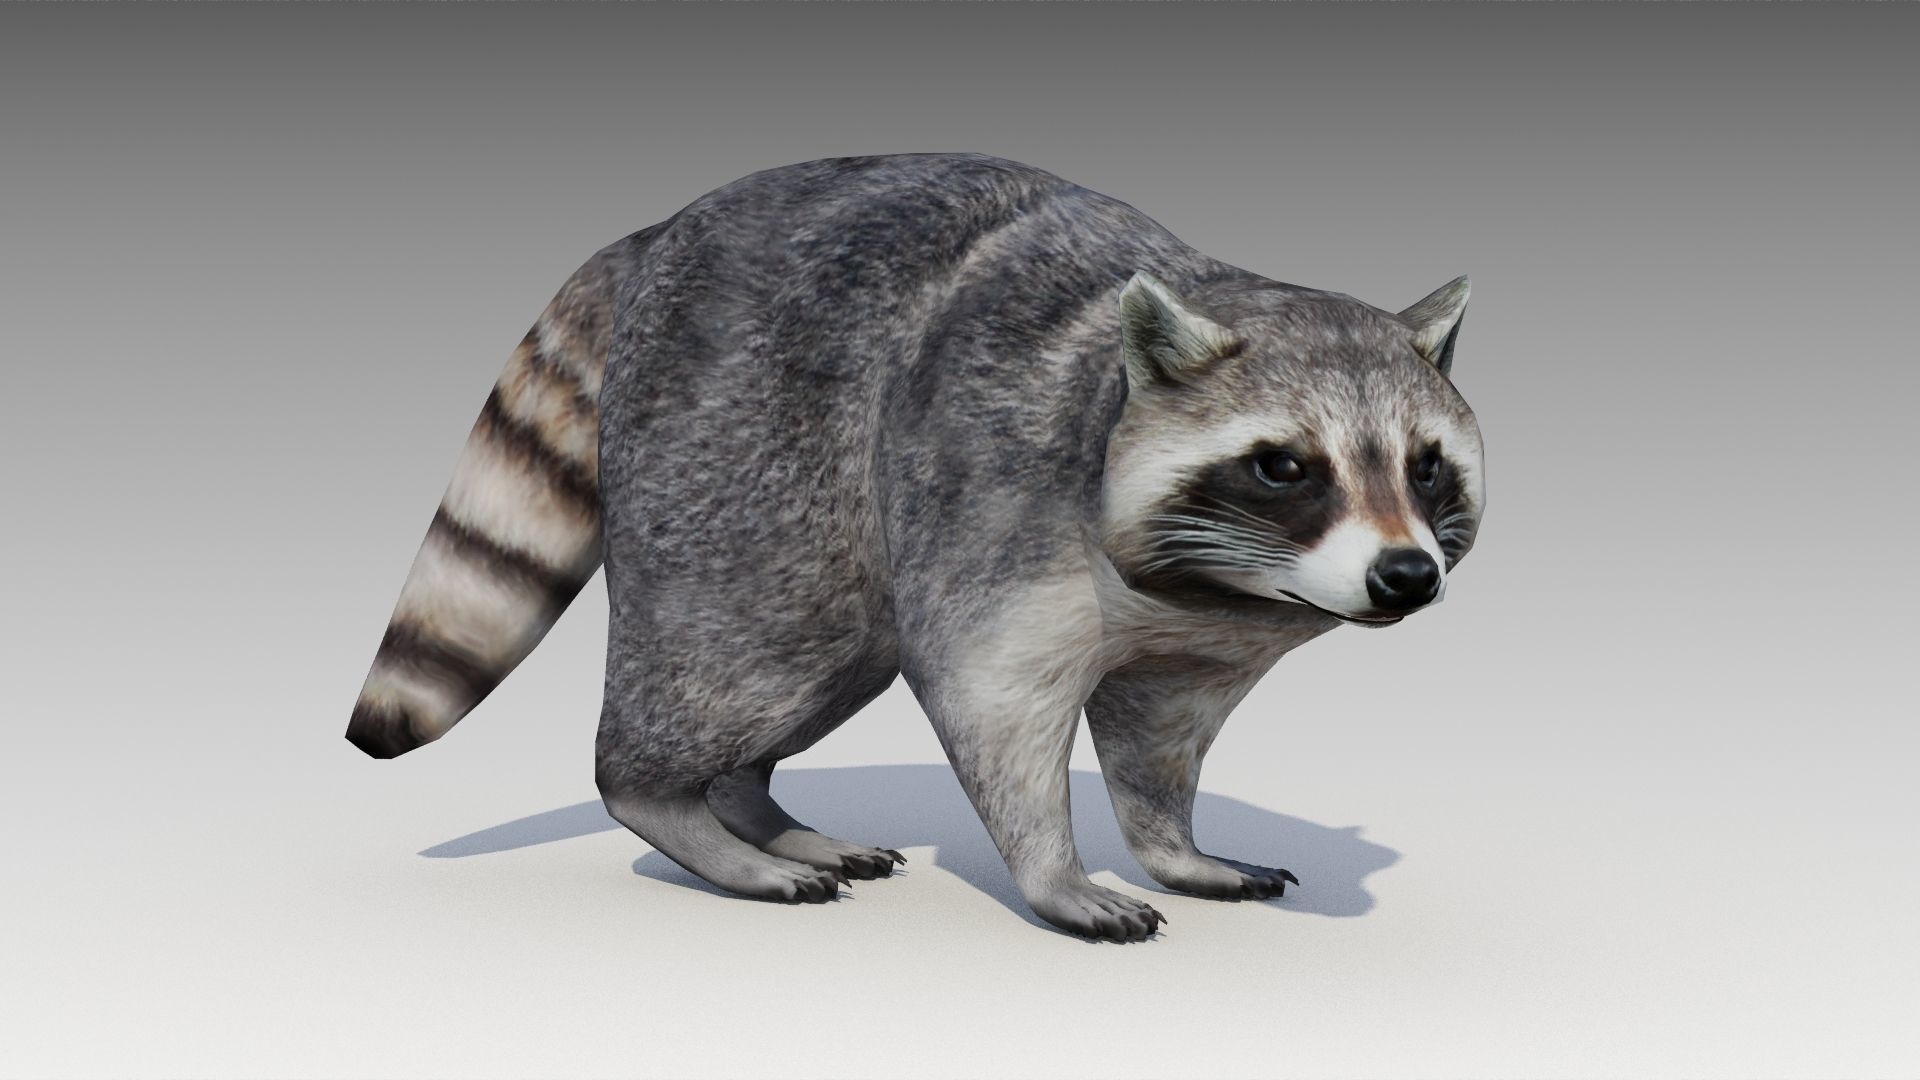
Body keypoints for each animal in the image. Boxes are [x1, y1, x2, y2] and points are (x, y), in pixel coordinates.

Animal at [346, 153, 1483, 941]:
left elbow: (1159, 732)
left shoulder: (1204, 635)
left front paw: (1172, 845)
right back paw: (679, 809)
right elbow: (993, 701)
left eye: (1427, 467)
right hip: (735, 459)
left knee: (822, 671)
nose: (1406, 576)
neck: (1214, 582)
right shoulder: (995, 499)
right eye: (1286, 467)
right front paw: (1056, 875)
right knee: (740, 656)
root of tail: (661, 231)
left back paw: (755, 806)